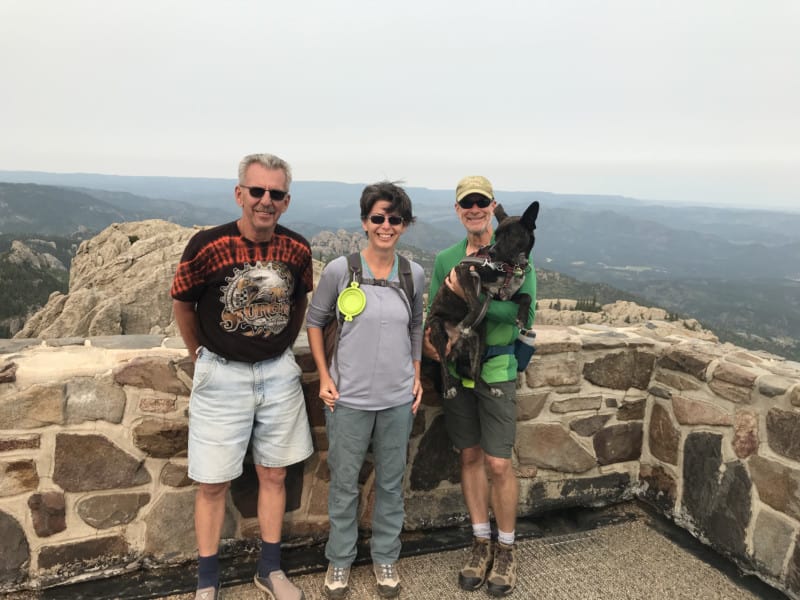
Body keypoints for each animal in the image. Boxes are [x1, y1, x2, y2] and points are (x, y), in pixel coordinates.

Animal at [424, 202, 536, 398]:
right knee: (443, 363)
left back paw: (492, 389)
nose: (491, 252)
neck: (509, 267)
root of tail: (456, 347)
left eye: (511, 234)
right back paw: (448, 388)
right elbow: (476, 303)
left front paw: (521, 318)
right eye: (496, 234)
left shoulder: (504, 296)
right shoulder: (464, 271)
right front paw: (466, 322)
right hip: (437, 329)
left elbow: (526, 297)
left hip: (480, 341)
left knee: (474, 374)